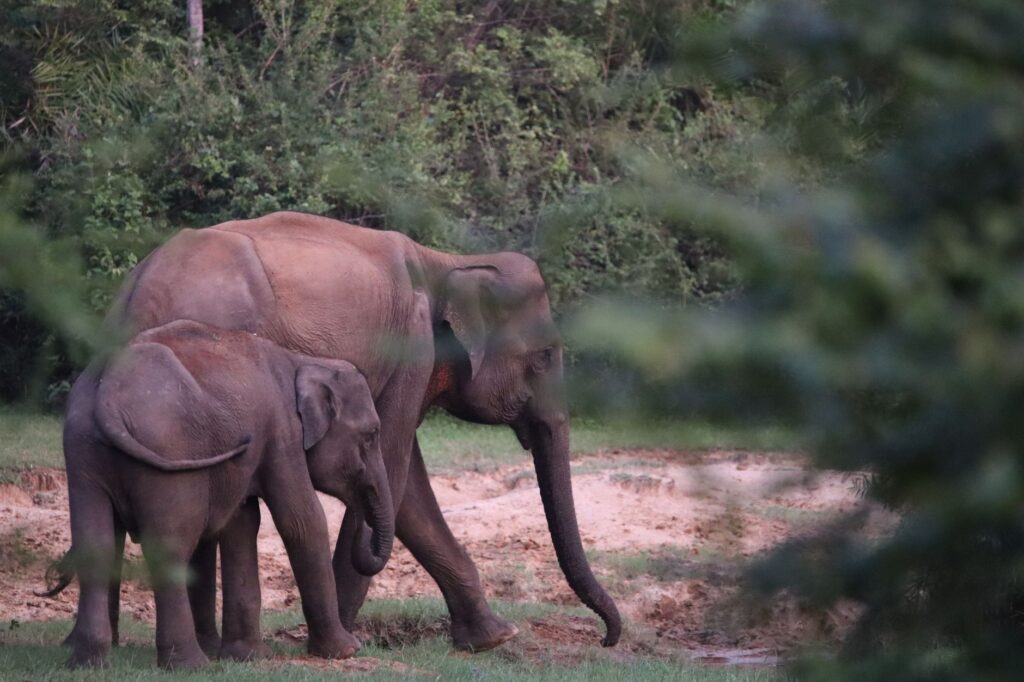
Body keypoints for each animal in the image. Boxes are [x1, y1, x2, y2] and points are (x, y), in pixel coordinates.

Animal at [55, 319, 395, 669]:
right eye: (371, 436)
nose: (364, 523)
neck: (304, 361)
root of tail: (108, 392)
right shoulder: (282, 431)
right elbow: (302, 521)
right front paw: (346, 650)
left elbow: (243, 523)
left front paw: (248, 657)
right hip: (167, 451)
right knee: (172, 547)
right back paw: (190, 664)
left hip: (83, 449)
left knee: (96, 544)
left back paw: (86, 660)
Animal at [90, 210, 621, 651]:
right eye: (545, 356)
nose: (607, 640)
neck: (450, 262)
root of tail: (141, 292)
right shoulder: (411, 345)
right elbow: (397, 469)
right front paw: (345, 639)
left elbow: (408, 488)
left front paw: (493, 638)